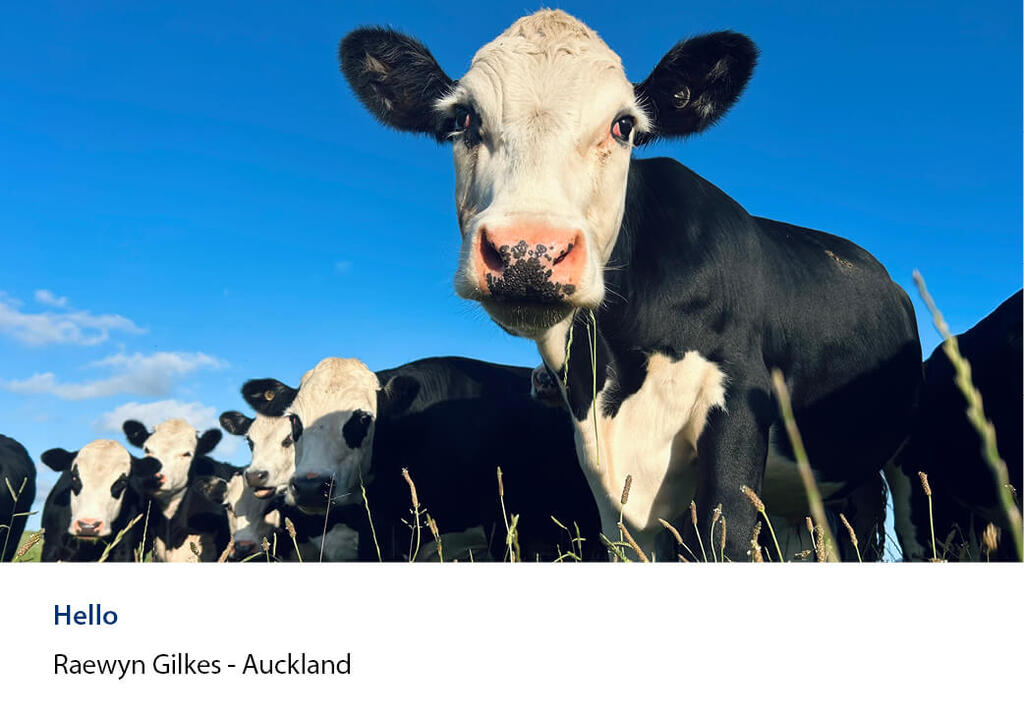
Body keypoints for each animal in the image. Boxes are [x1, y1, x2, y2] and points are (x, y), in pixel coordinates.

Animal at [339, 10, 921, 560]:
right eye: (463, 118)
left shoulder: (739, 405)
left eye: (623, 126)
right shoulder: (602, 466)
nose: (529, 252)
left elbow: (727, 540)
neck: (618, 361)